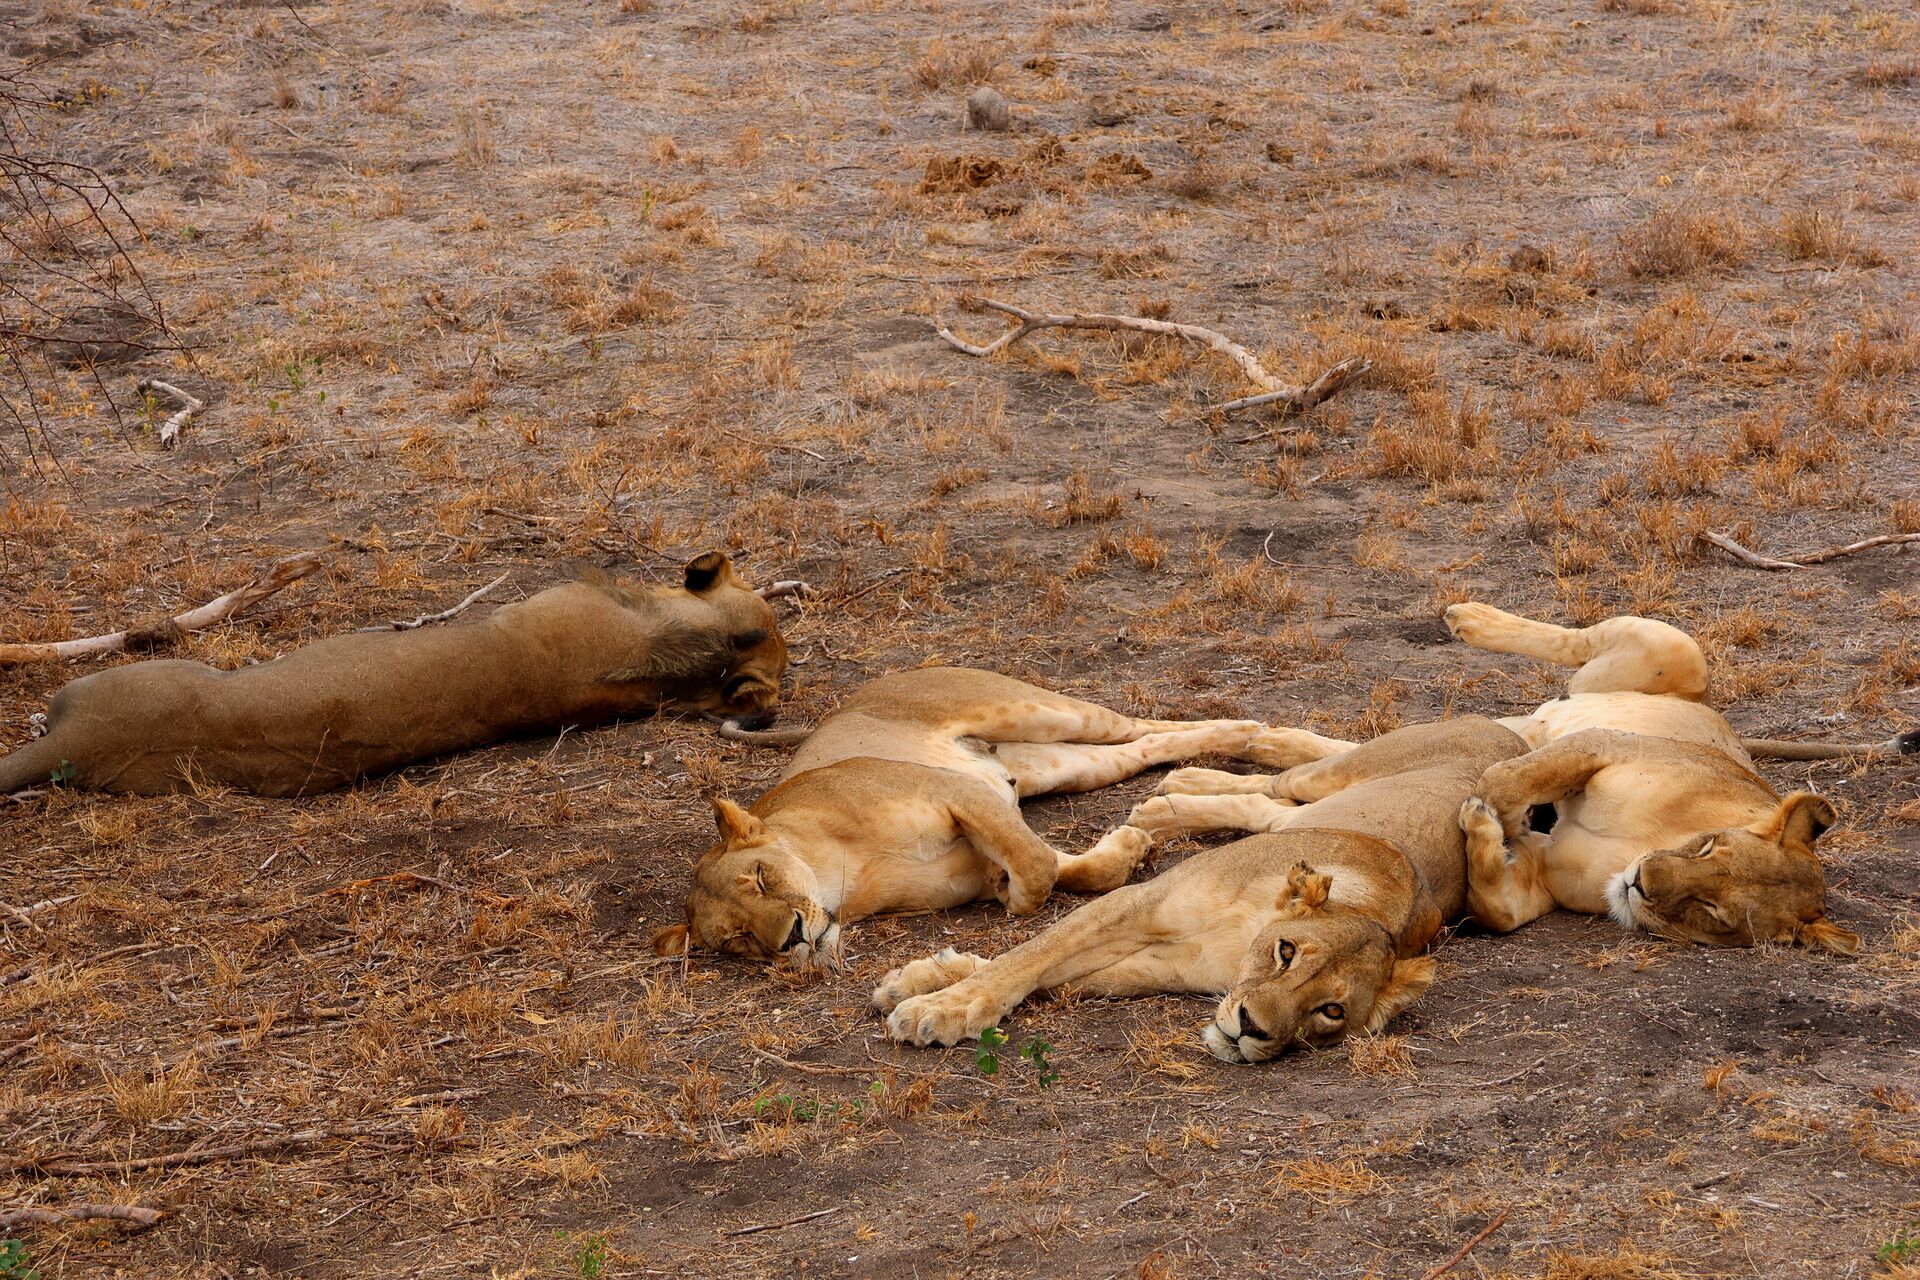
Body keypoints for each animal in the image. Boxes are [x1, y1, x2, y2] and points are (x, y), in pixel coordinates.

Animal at [649, 667, 1262, 965]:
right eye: (737, 940)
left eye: (759, 878)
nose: (792, 939)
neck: (842, 879)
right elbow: (1066, 867)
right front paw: (1130, 847)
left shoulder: (954, 790)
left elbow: (1035, 868)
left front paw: (1015, 892)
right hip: (1061, 762)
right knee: (1139, 747)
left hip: (1036, 710)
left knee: (1140, 724)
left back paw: (1247, 731)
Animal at [875, 717, 1528, 1059]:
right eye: (1287, 953)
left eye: (1330, 1012)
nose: (1251, 1029)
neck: (1242, 941)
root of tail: (1515, 740)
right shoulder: (1134, 904)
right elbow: (1026, 959)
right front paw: (938, 1002)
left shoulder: (1155, 967)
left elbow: (1040, 972)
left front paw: (930, 981)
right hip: (1336, 777)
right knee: (1282, 782)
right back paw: (1181, 789)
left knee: (1269, 805)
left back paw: (1177, 792)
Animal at [1149, 602, 1889, 953]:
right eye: (1710, 848)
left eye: (1713, 911)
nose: (1645, 881)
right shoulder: (1601, 746)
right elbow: (1513, 779)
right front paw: (1504, 810)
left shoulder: (1535, 886)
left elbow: (1501, 903)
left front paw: (1489, 833)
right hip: (1672, 651)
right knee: (1575, 643)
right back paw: (1468, 617)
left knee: (1286, 787)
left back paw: (1189, 784)